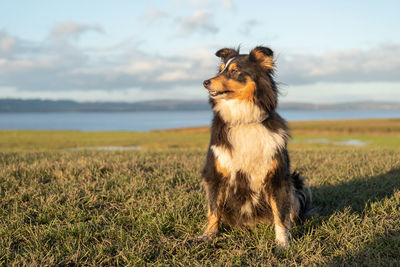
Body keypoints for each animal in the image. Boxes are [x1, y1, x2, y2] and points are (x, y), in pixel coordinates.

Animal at [200, 46, 312, 249]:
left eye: (235, 70)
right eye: (220, 69)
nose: (205, 82)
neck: (245, 120)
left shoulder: (278, 176)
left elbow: (281, 215)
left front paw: (282, 244)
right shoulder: (215, 174)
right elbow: (213, 210)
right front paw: (208, 236)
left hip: (295, 183)